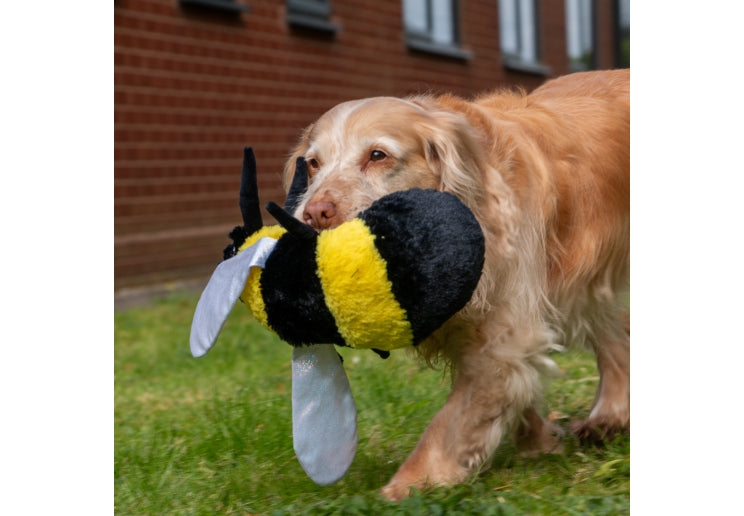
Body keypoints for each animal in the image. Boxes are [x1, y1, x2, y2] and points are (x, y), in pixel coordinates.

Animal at [282, 68, 632, 500]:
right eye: (313, 164)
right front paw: (539, 444)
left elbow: (449, 424)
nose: (314, 212)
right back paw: (608, 418)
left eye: (378, 155)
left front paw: (407, 485)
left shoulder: (503, 337)